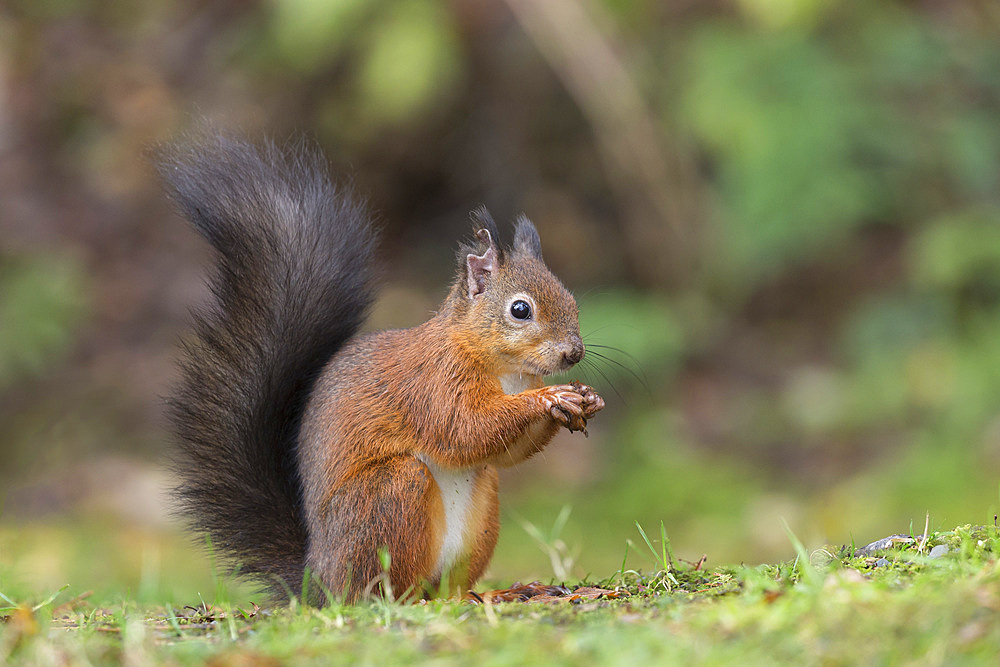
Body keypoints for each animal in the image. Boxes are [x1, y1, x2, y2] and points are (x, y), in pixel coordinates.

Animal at [162, 137, 600, 604]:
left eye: (571, 299)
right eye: (520, 310)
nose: (574, 353)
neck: (506, 370)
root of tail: (319, 580)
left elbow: (504, 451)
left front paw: (585, 398)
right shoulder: (433, 383)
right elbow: (464, 428)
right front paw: (548, 398)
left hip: (481, 510)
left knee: (447, 585)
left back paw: (497, 593)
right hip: (389, 495)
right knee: (385, 590)